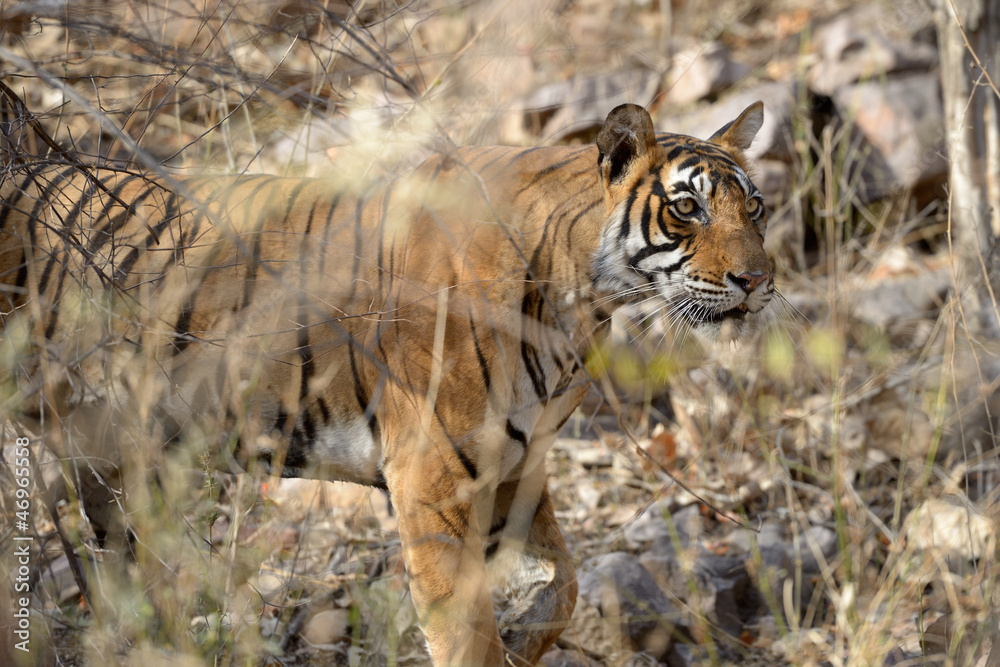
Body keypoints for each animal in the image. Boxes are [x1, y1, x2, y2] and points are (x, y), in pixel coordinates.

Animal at [0, 102, 772, 665]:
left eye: (755, 207)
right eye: (688, 208)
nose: (758, 280)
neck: (581, 298)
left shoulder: (517, 464)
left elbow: (566, 584)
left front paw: (524, 636)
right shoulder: (433, 475)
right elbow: (466, 634)